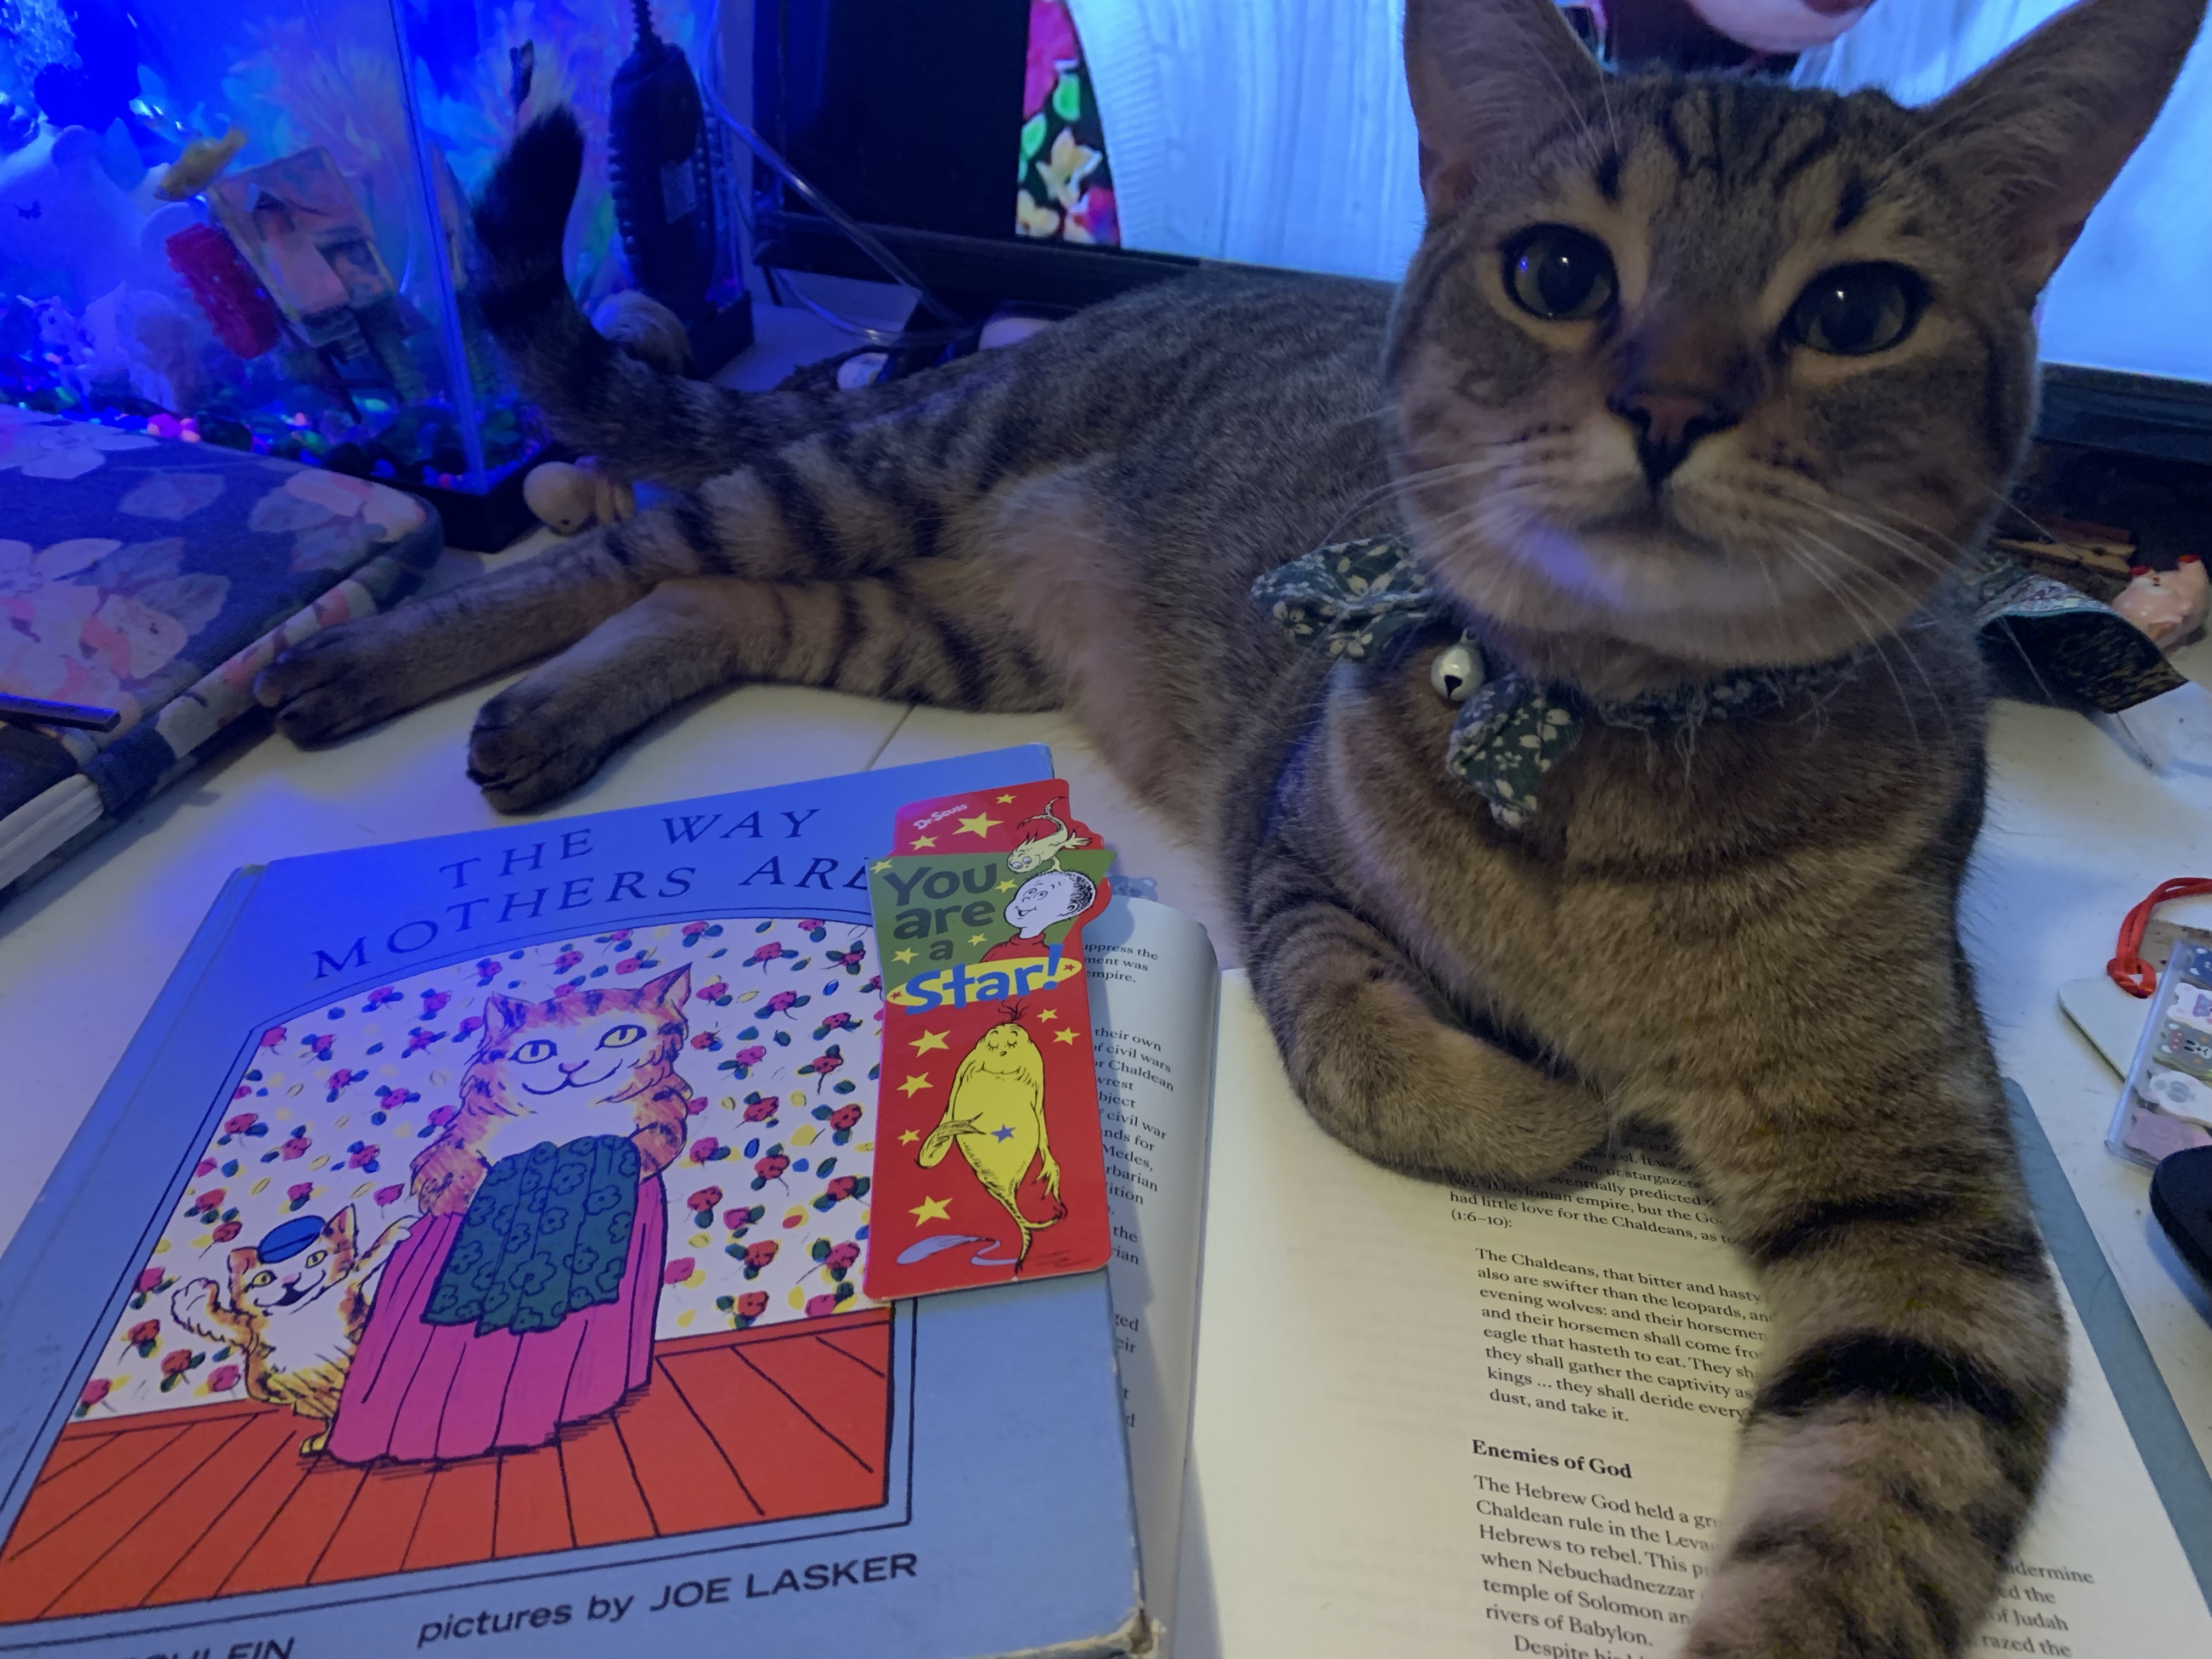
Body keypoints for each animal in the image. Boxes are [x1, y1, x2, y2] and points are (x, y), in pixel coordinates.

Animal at [170, 1205, 410, 1454]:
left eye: (315, 1259)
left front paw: (394, 1232)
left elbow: (359, 1267)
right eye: (264, 1278)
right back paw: (324, 1439)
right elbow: (226, 1324)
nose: (290, 1280)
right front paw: (192, 1297)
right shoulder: (251, 1333)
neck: (299, 1317)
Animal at [250, 0, 2203, 1650]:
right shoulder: (1297, 875)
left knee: (711, 605)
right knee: (629, 547)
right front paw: (1548, 1102)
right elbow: (1376, 1061)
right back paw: (372, 666)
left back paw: (546, 717)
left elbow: (1870, 1527)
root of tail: (1087, 314)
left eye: (1858, 312)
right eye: (1560, 271)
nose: (1669, 404)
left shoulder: (1935, 1220)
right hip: (878, 478)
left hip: (940, 624)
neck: (1613, 759)